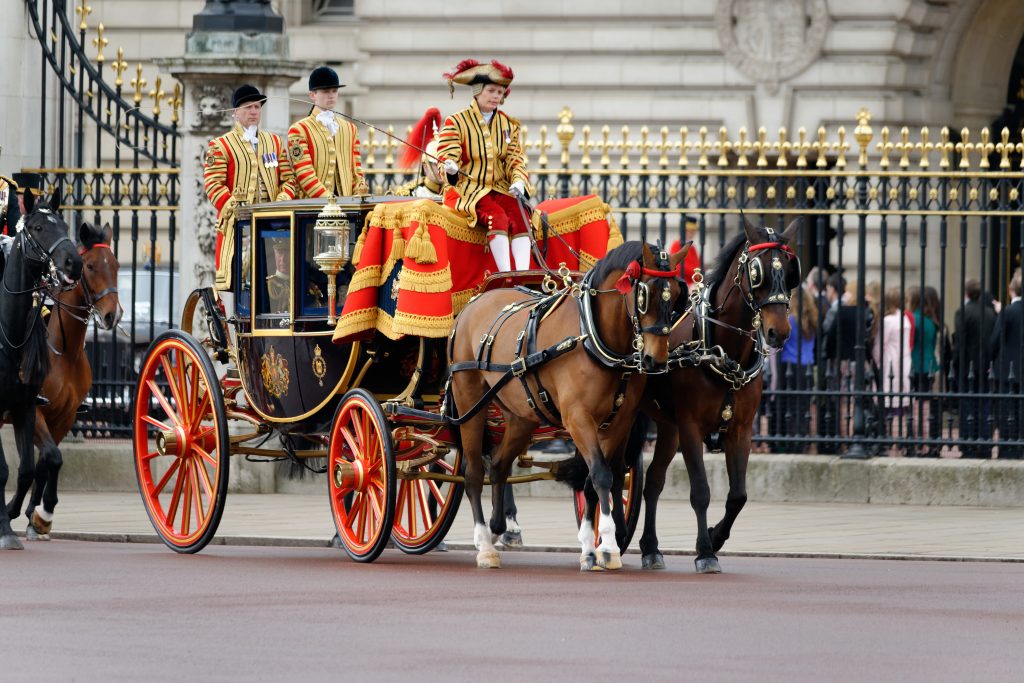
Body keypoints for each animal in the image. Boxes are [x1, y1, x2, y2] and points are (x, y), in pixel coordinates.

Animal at [5, 224, 120, 540]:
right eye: (90, 267)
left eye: (117, 265)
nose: (111, 315)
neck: (64, 353)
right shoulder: (34, 411)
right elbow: (50, 458)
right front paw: (34, 512)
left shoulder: (64, 417)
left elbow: (46, 463)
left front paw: (37, 516)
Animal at [448, 241, 688, 573]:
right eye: (644, 295)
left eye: (676, 295)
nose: (656, 360)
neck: (593, 337)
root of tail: (473, 304)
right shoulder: (578, 419)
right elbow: (600, 474)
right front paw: (608, 546)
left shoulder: (618, 422)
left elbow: (596, 479)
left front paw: (591, 547)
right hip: (469, 400)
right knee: (472, 473)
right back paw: (484, 545)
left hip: (521, 416)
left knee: (497, 465)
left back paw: (499, 528)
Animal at [634, 218, 802, 573]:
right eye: (756, 272)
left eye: (790, 270)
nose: (779, 332)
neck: (721, 351)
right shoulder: (690, 428)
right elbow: (700, 490)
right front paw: (705, 552)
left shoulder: (740, 430)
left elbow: (738, 495)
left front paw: (715, 536)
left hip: (667, 427)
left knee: (653, 481)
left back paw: (650, 547)